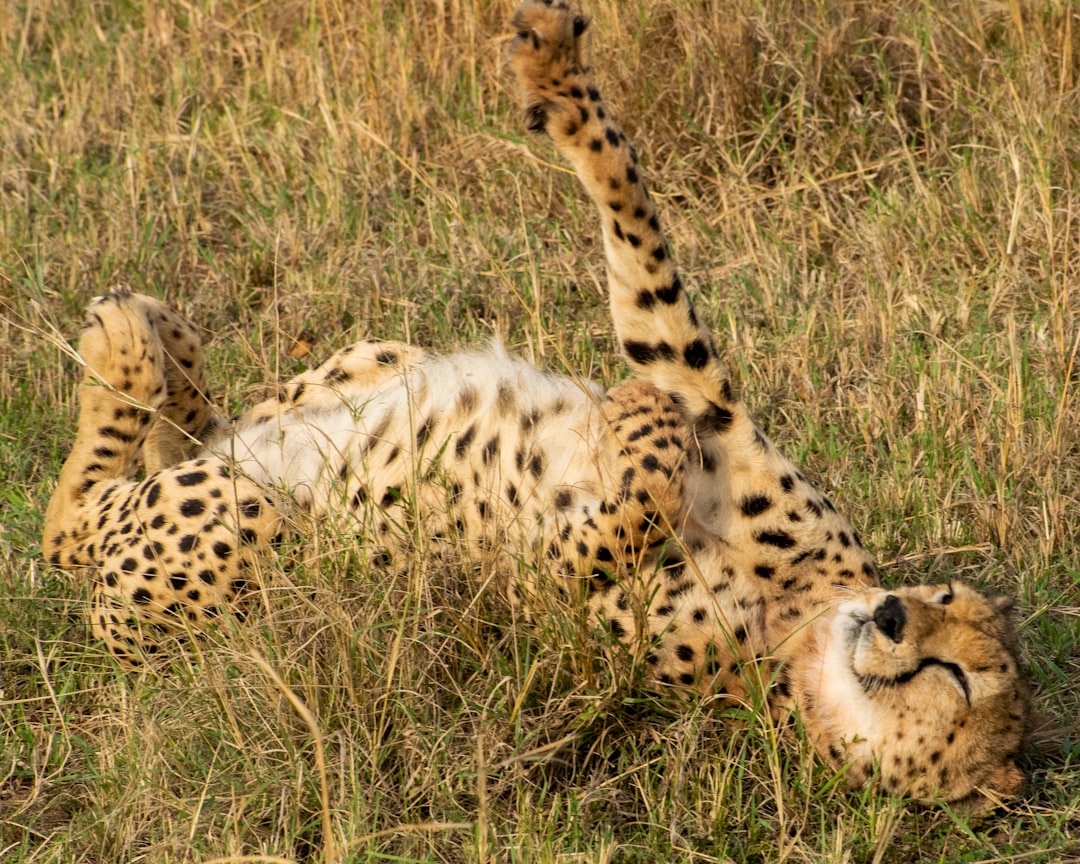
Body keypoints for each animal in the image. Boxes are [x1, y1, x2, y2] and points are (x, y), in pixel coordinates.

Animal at [42, 0, 1028, 812]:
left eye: (960, 680)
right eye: (944, 596)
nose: (892, 614)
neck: (798, 631)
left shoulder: (550, 586)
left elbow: (635, 495)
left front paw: (638, 429)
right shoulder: (700, 397)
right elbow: (635, 220)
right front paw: (556, 71)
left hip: (241, 523)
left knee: (75, 516)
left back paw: (122, 345)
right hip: (363, 366)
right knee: (203, 431)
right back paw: (162, 338)